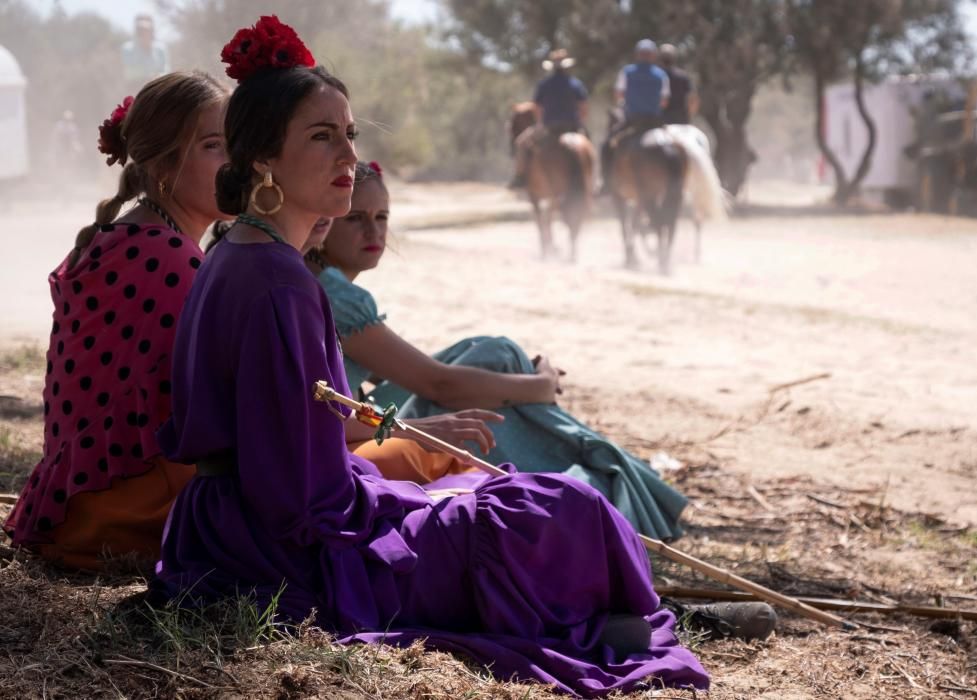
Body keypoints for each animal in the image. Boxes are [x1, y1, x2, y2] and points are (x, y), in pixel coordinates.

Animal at [510, 100, 596, 260]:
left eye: (513, 123)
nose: (512, 147)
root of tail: (570, 143)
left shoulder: (534, 195)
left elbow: (541, 219)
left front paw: (546, 247)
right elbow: (547, 218)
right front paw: (551, 247)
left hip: (556, 190)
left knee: (562, 213)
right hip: (581, 188)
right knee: (576, 212)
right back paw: (572, 250)